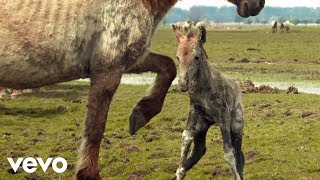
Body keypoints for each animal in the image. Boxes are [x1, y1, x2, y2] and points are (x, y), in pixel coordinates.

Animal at [0, 0, 264, 179]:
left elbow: (167, 66)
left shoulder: (130, 60)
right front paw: (88, 173)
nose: (257, 5)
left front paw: (141, 114)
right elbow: (95, 128)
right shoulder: (108, 68)